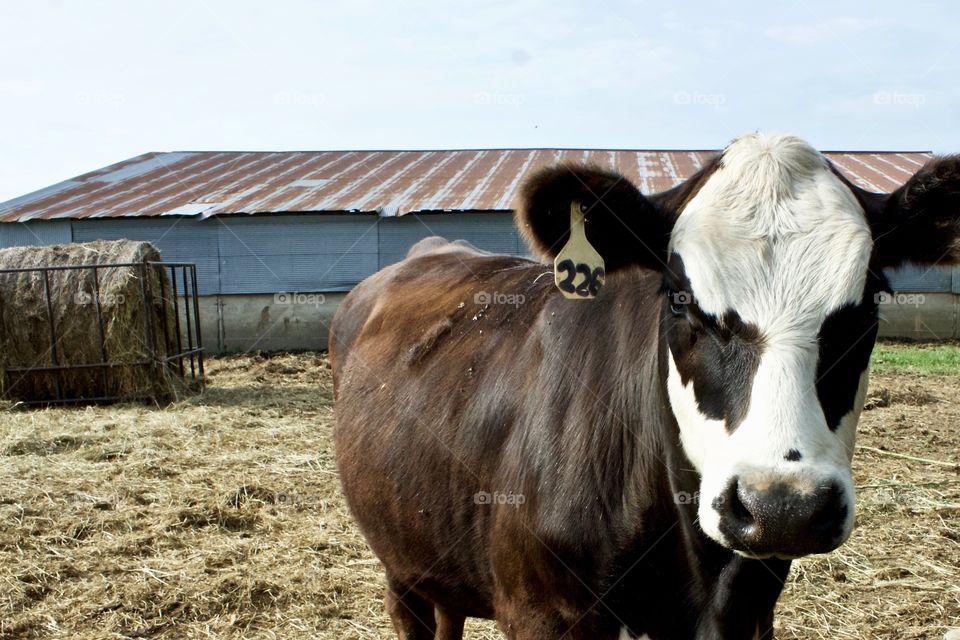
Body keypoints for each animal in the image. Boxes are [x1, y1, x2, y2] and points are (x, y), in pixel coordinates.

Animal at [330, 132, 960, 636]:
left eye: (870, 301)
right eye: (680, 299)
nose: (783, 508)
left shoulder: (751, 615)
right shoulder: (545, 614)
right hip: (400, 567)